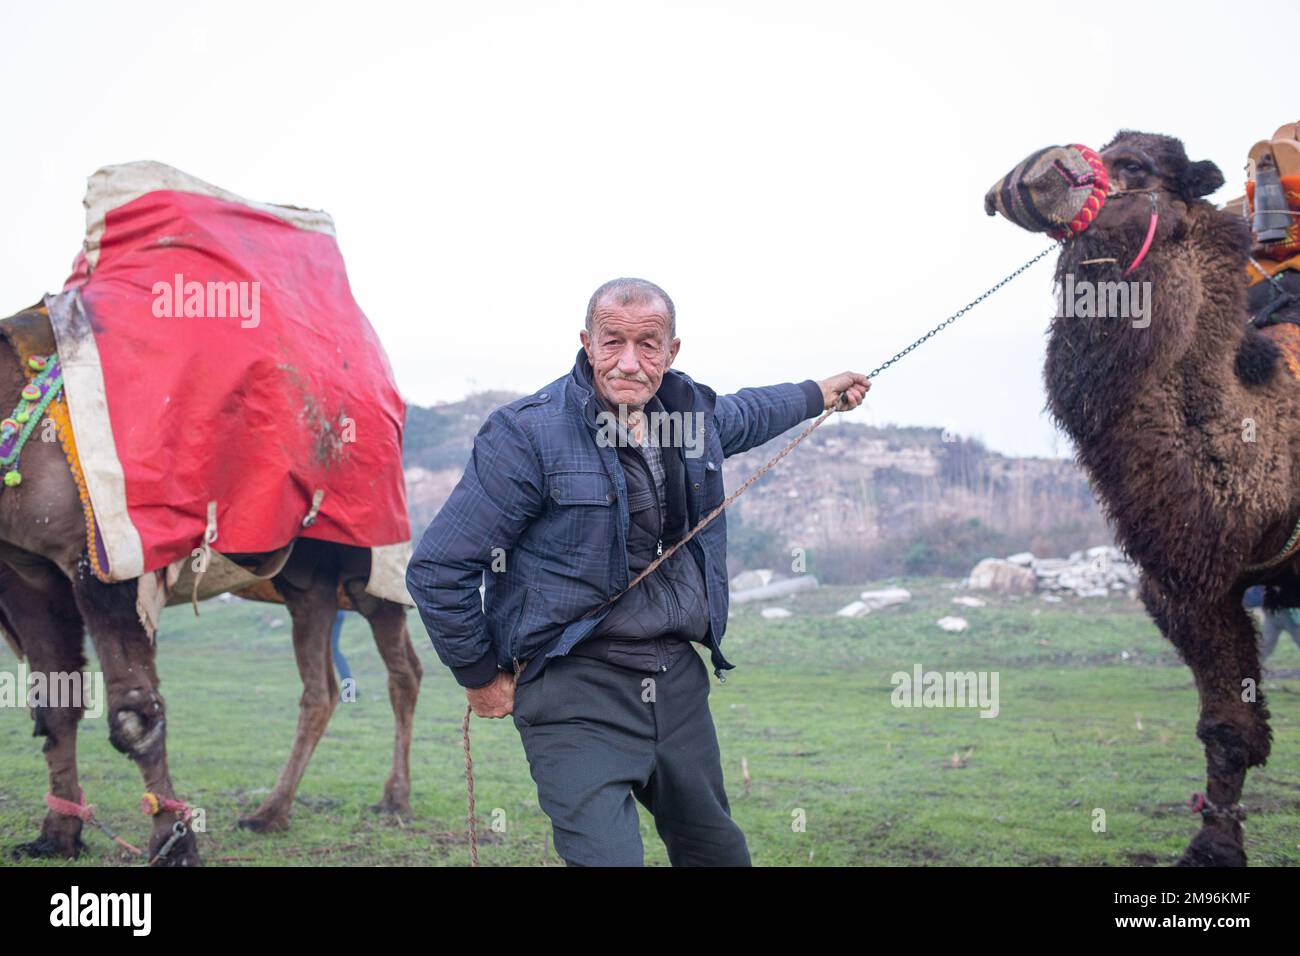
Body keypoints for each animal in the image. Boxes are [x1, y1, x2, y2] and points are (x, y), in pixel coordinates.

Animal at [0, 308, 421, 868]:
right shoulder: (25, 570)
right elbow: (55, 705)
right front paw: (57, 836)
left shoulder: (103, 560)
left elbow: (134, 714)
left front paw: (174, 844)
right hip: (306, 581)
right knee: (322, 688)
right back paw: (271, 812)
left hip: (371, 559)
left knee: (402, 671)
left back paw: (393, 799)